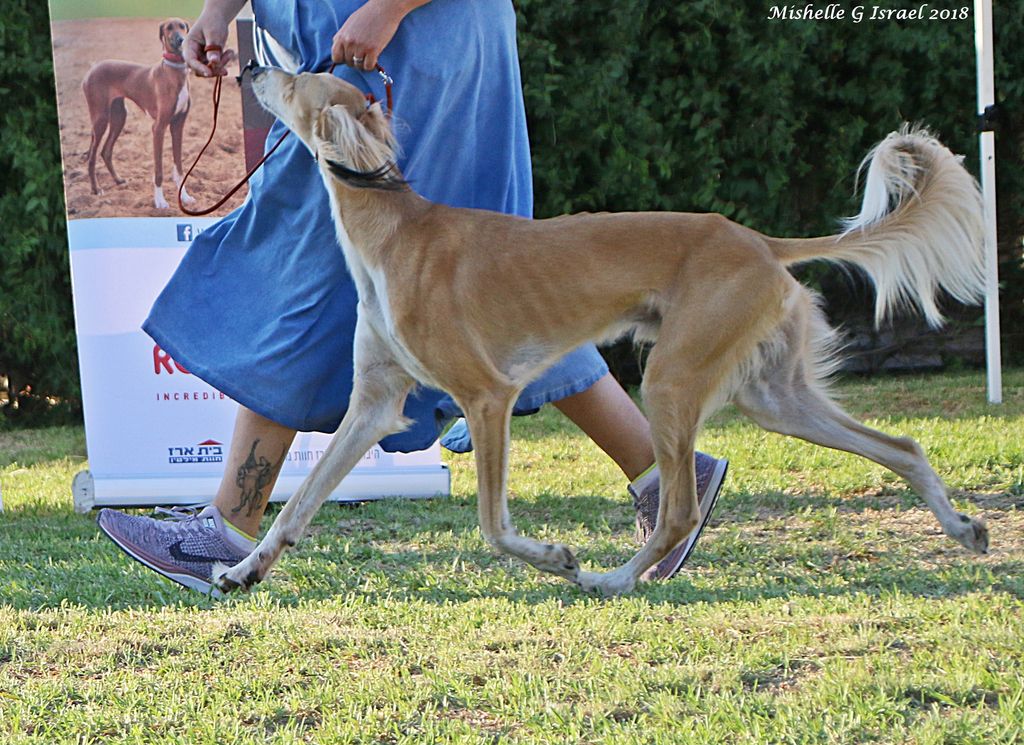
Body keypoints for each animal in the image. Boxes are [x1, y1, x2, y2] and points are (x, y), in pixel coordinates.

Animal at [81, 17, 197, 209]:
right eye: (168, 28)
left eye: (182, 26)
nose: (181, 40)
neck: (173, 71)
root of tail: (92, 68)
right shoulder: (158, 128)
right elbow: (158, 171)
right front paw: (160, 201)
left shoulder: (178, 126)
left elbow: (179, 167)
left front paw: (185, 197)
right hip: (101, 120)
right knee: (92, 156)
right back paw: (96, 189)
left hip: (119, 117)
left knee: (106, 151)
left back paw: (118, 180)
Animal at [211, 67, 987, 597]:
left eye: (297, 78)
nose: (248, 70)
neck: (394, 231)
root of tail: (758, 241)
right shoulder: (374, 403)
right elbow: (298, 504)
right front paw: (243, 569)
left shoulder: (486, 395)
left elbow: (492, 524)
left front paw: (556, 557)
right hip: (775, 397)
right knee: (903, 445)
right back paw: (963, 527)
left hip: (671, 379)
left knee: (678, 513)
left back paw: (612, 579)